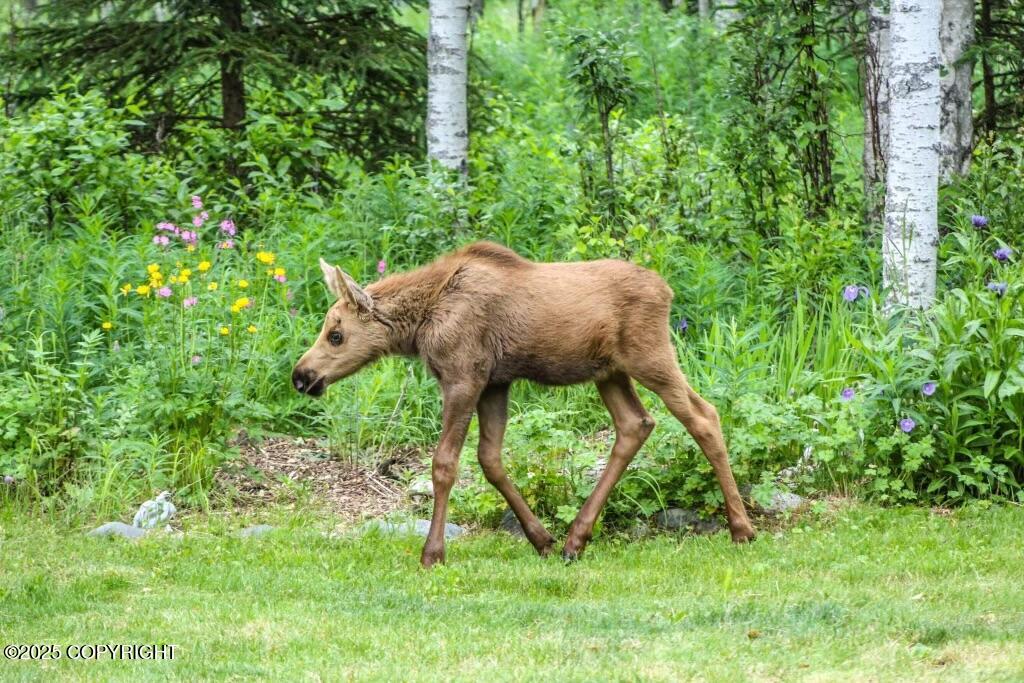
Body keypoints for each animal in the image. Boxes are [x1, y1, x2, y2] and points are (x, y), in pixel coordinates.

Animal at [292, 242, 757, 569]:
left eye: (336, 334)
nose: (301, 375)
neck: (420, 324)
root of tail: (667, 290)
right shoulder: (496, 382)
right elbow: (490, 460)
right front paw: (542, 539)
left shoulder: (464, 377)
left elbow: (445, 463)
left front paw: (432, 554)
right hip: (609, 371)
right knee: (636, 423)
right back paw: (574, 540)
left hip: (650, 355)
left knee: (703, 415)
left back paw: (742, 529)